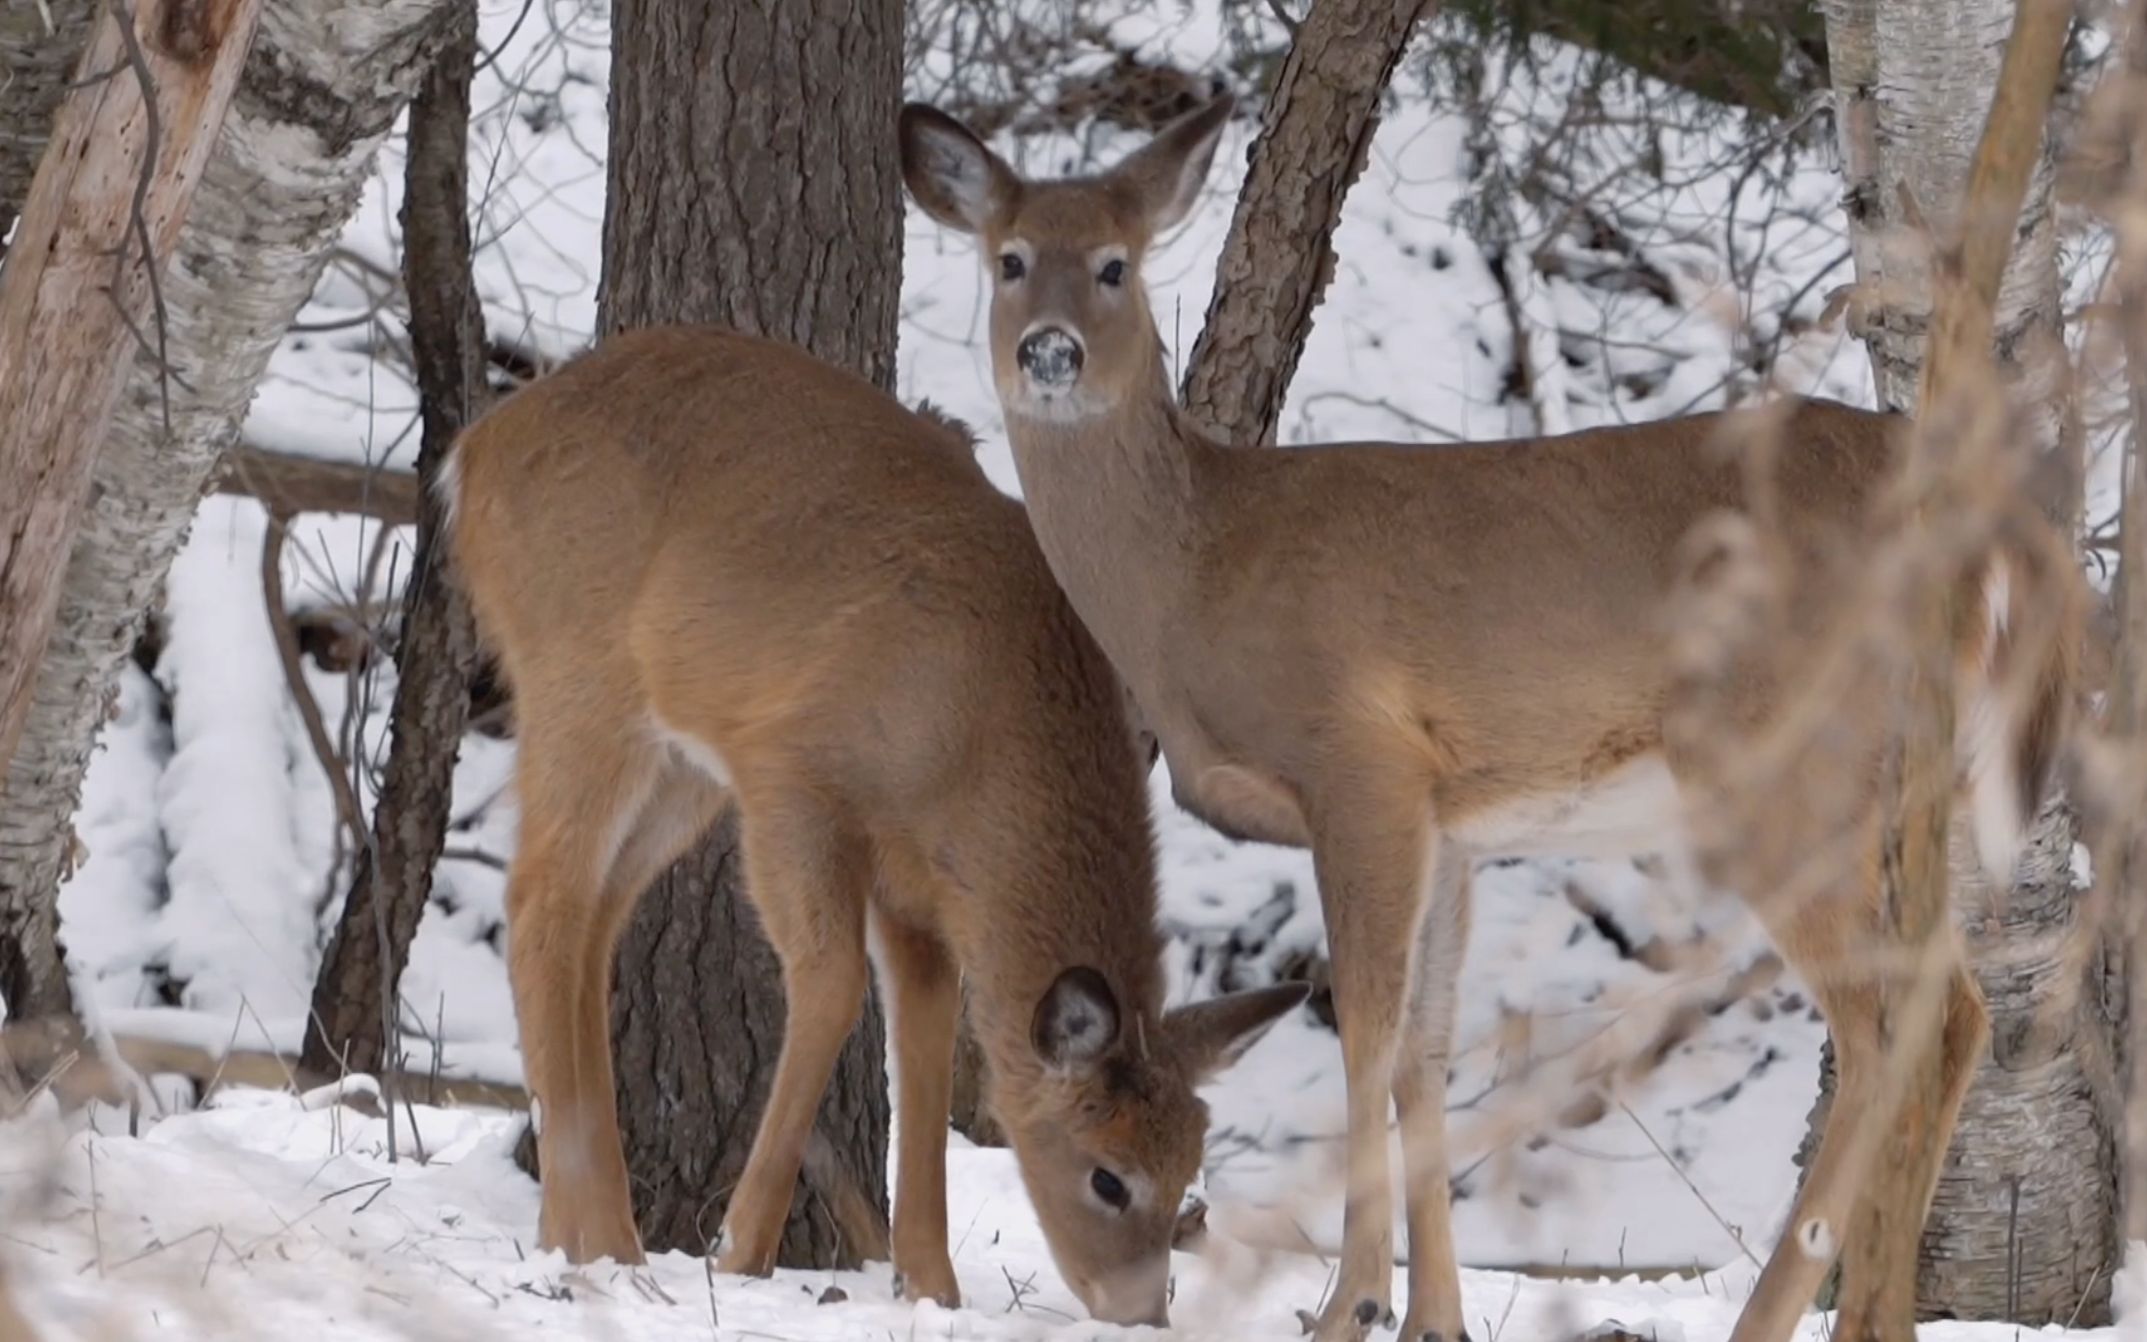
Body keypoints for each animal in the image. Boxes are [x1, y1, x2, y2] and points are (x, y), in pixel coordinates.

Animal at [444, 324, 1296, 1331]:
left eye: (1188, 1171)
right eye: (1108, 1177)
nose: (1142, 1315)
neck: (978, 738)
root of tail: (475, 452)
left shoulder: (922, 886)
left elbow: (924, 1042)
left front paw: (930, 1285)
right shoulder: (793, 780)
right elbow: (833, 985)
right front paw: (741, 1248)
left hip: (677, 763)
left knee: (592, 917)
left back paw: (572, 1231)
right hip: (580, 677)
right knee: (541, 898)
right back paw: (609, 1239)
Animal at [893, 96, 2078, 1339]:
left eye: (1115, 266)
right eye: (1009, 259)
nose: (1049, 353)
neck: (1194, 570)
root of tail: (1993, 517)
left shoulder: (1358, 761)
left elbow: (1363, 1035)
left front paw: (1350, 1302)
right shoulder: (1451, 818)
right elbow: (1424, 1050)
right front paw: (1432, 1314)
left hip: (1785, 753)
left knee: (1885, 1021)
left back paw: (1769, 1312)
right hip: (1915, 774)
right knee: (1953, 1010)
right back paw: (1873, 1314)